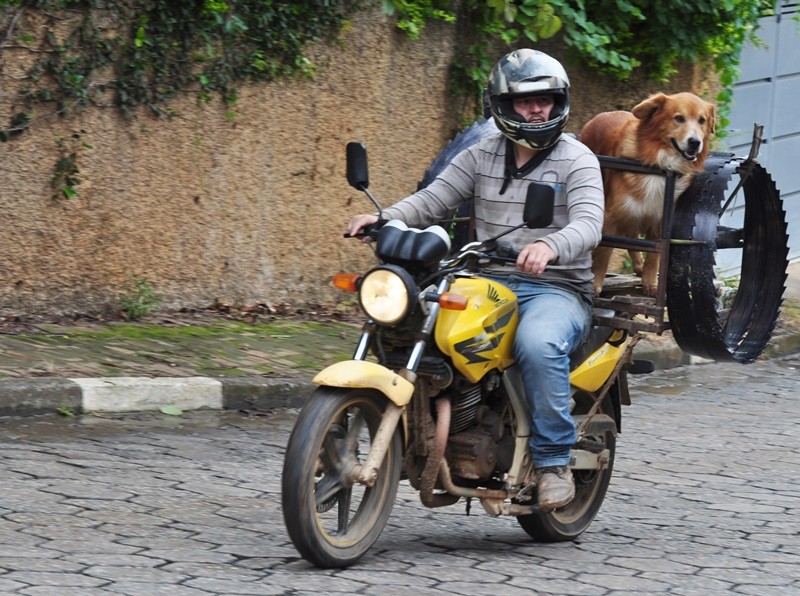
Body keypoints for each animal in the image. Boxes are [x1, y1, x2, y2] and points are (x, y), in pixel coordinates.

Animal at [580, 92, 716, 296]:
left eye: (702, 121)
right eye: (679, 118)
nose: (695, 142)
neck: (660, 163)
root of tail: (601, 115)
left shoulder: (659, 221)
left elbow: (654, 255)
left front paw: (650, 284)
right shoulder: (612, 216)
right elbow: (605, 252)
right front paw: (595, 284)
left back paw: (638, 267)